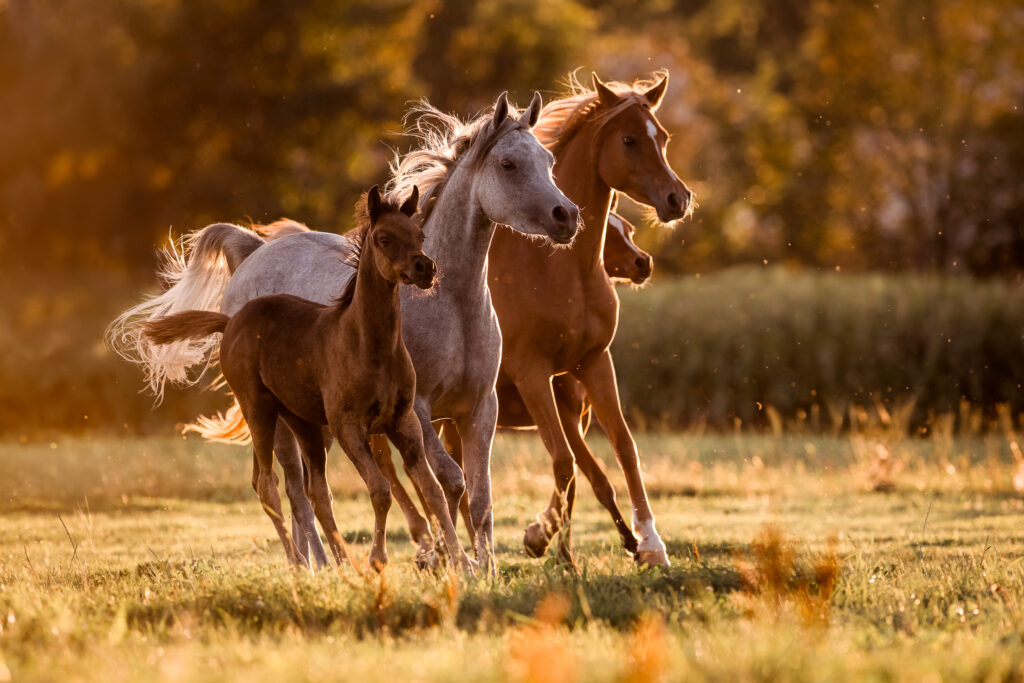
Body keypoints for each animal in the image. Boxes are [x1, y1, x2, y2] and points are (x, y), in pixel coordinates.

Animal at [142, 185, 473, 573]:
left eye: (420, 236)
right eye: (384, 238)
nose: (426, 268)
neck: (366, 343)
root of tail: (231, 322)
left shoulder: (402, 422)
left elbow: (433, 490)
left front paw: (461, 561)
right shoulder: (349, 427)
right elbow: (379, 490)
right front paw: (378, 560)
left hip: (304, 423)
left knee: (314, 492)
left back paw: (340, 564)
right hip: (260, 412)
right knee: (268, 484)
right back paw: (300, 562)